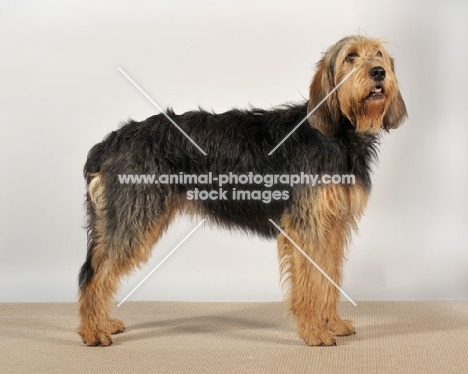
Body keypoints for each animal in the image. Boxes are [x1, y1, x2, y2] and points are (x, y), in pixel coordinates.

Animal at [77, 35, 406, 348]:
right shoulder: (307, 227)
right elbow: (309, 283)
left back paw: (102, 323)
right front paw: (314, 332)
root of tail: (112, 140)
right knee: (93, 274)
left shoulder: (332, 227)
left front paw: (331, 323)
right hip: (132, 217)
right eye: (351, 56)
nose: (379, 72)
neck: (338, 134)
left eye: (378, 54)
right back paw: (92, 331)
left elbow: (328, 276)